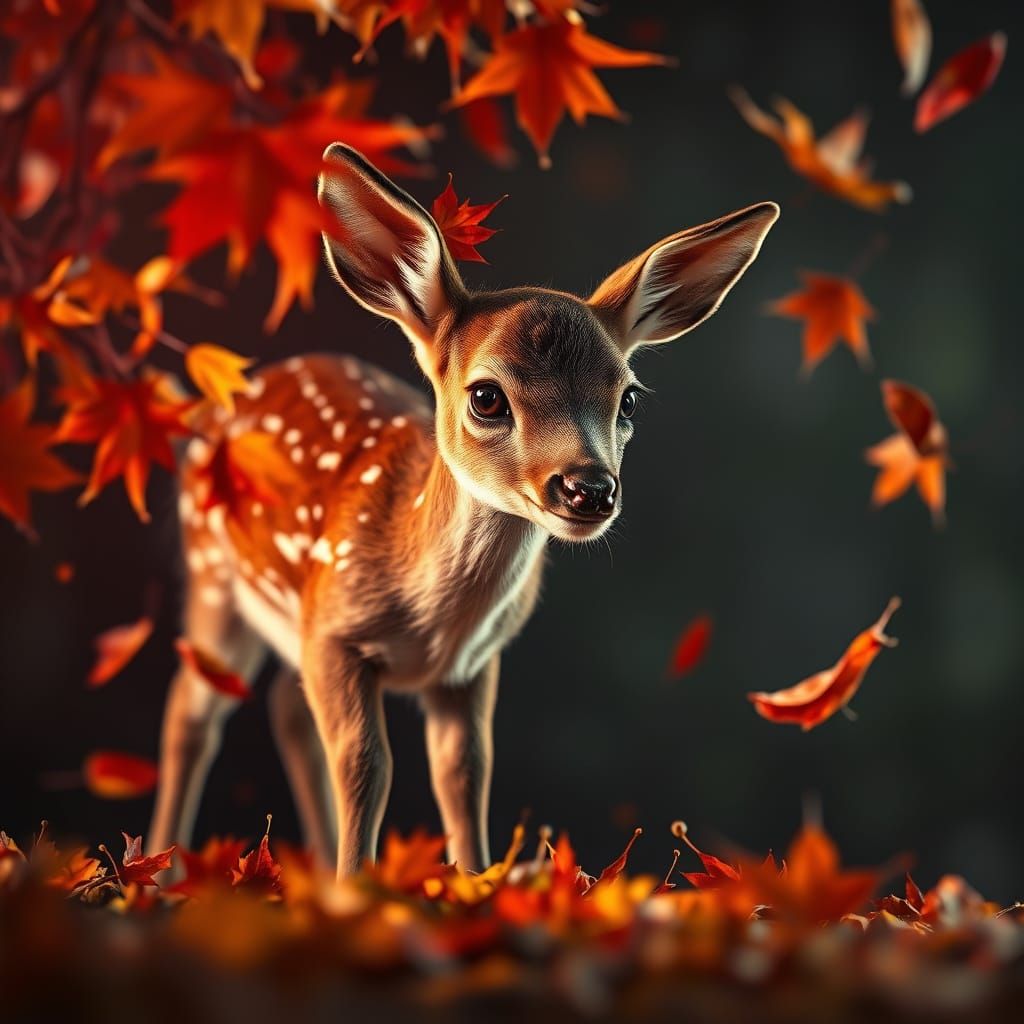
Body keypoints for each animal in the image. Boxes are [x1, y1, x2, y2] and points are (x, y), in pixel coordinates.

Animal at [148, 143, 779, 878]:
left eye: (628, 397)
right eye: (486, 396)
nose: (589, 489)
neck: (432, 621)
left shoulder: (473, 664)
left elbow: (464, 773)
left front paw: (475, 882)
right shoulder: (335, 630)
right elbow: (367, 767)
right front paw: (353, 886)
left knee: (284, 707)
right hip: (215, 578)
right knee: (193, 713)